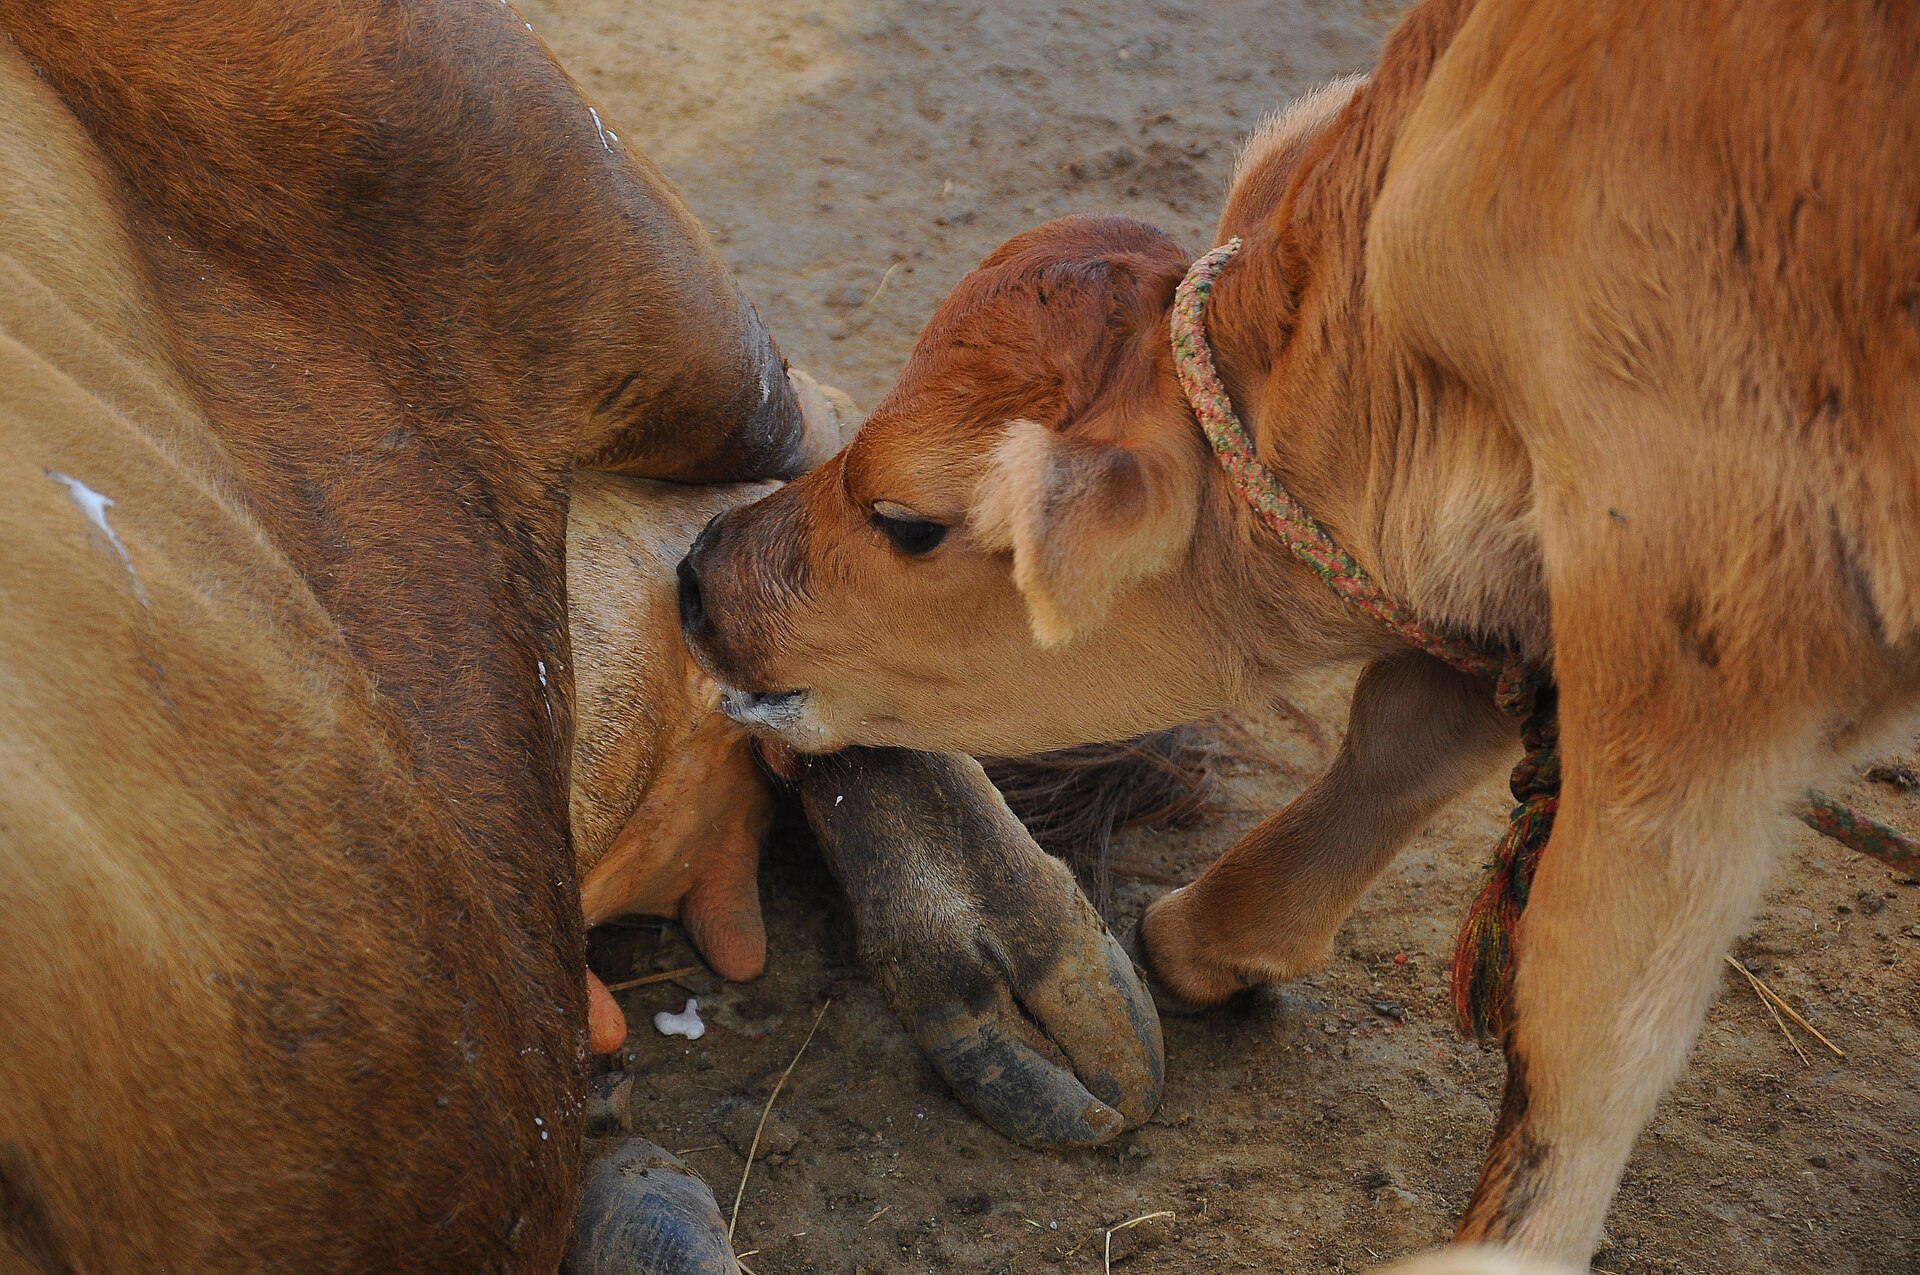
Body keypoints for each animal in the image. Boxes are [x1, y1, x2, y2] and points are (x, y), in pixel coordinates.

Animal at [676, 0, 1920, 1266]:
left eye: (907, 519)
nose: (697, 573)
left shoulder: (1705, 636)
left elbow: (1587, 1006)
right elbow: (1411, 727)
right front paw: (1216, 935)